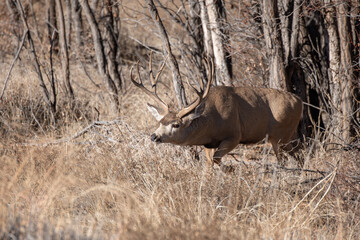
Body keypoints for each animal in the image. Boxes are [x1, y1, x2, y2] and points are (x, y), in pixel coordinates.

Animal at [131, 54, 302, 171]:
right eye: (160, 122)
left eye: (176, 124)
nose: (154, 136)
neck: (212, 122)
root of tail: (299, 101)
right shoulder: (209, 144)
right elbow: (209, 163)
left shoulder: (234, 135)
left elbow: (216, 160)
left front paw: (230, 170)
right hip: (286, 136)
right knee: (298, 153)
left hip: (280, 135)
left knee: (286, 158)